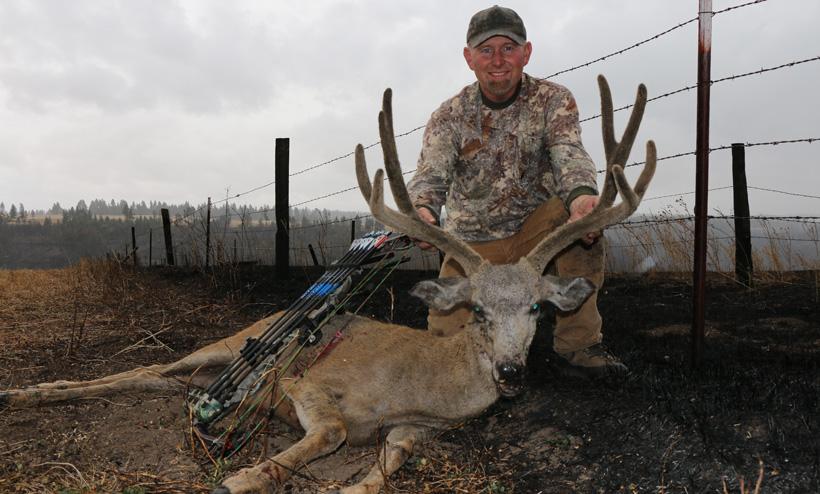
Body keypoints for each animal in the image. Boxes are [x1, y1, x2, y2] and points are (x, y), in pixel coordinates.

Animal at [1, 75, 655, 494]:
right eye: (478, 313)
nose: (511, 372)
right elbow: (334, 427)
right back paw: (29, 393)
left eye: (537, 311)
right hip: (230, 341)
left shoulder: (416, 430)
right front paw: (242, 477)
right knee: (142, 369)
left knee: (162, 382)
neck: (420, 388)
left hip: (207, 371)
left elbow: (385, 468)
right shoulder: (305, 383)